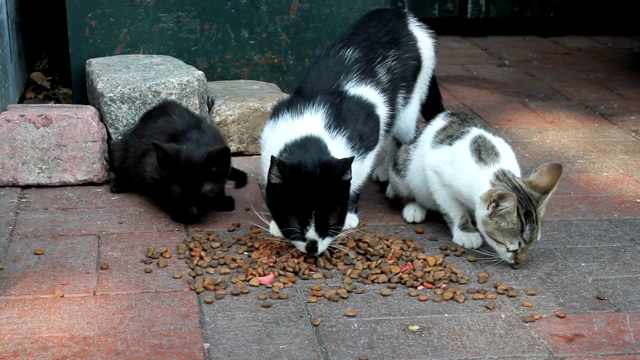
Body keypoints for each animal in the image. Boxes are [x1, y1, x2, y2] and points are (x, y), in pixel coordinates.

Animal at [107, 98, 248, 222]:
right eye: (177, 190)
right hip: (119, 150)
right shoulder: (149, 166)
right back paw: (120, 183)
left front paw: (221, 200)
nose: (191, 212)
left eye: (204, 191)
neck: (194, 142)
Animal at [260, 8, 444, 256]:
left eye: (330, 221)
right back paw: (385, 171)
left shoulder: (366, 141)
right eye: (295, 223)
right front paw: (275, 225)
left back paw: (410, 200)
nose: (312, 246)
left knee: (405, 136)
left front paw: (349, 213)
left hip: (411, 99)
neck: (312, 134)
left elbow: (357, 176)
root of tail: (401, 14)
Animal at [384, 111, 560, 266]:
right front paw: (465, 232)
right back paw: (413, 206)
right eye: (512, 248)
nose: (519, 261)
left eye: (532, 244)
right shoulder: (436, 173)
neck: (494, 169)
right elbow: (453, 209)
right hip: (405, 168)